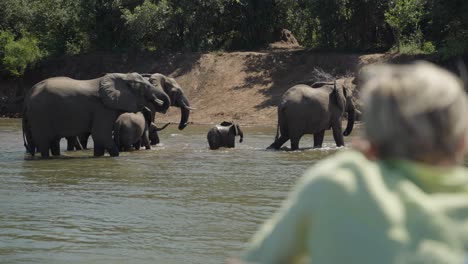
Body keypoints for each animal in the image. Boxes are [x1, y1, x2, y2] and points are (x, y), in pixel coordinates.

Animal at [22, 72, 171, 158]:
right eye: (146, 87)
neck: (121, 77)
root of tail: (28, 96)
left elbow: (100, 139)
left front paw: (98, 157)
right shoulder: (102, 108)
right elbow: (101, 134)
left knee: (51, 142)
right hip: (40, 115)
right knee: (44, 142)